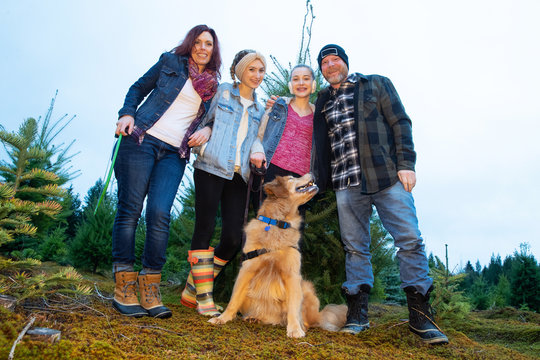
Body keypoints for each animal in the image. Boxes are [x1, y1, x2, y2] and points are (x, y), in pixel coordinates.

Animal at [207, 174, 346, 338]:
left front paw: (294, 329)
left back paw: (300, 325)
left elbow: (293, 306)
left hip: (306, 288)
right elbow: (233, 299)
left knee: (306, 320)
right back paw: (255, 317)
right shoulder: (247, 270)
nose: (311, 173)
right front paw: (223, 318)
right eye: (291, 178)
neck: (278, 223)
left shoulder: (292, 275)